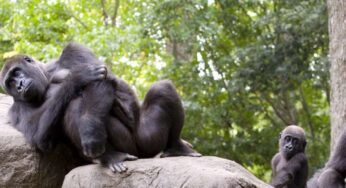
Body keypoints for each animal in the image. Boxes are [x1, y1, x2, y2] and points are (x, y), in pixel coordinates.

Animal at [0, 43, 201, 173]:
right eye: (10, 83)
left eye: (17, 72)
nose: (19, 86)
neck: (47, 74)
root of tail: (145, 156)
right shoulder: (15, 110)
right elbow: (39, 138)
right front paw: (77, 78)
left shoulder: (73, 50)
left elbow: (101, 82)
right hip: (132, 147)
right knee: (71, 106)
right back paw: (111, 157)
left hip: (146, 139)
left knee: (162, 89)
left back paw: (176, 147)